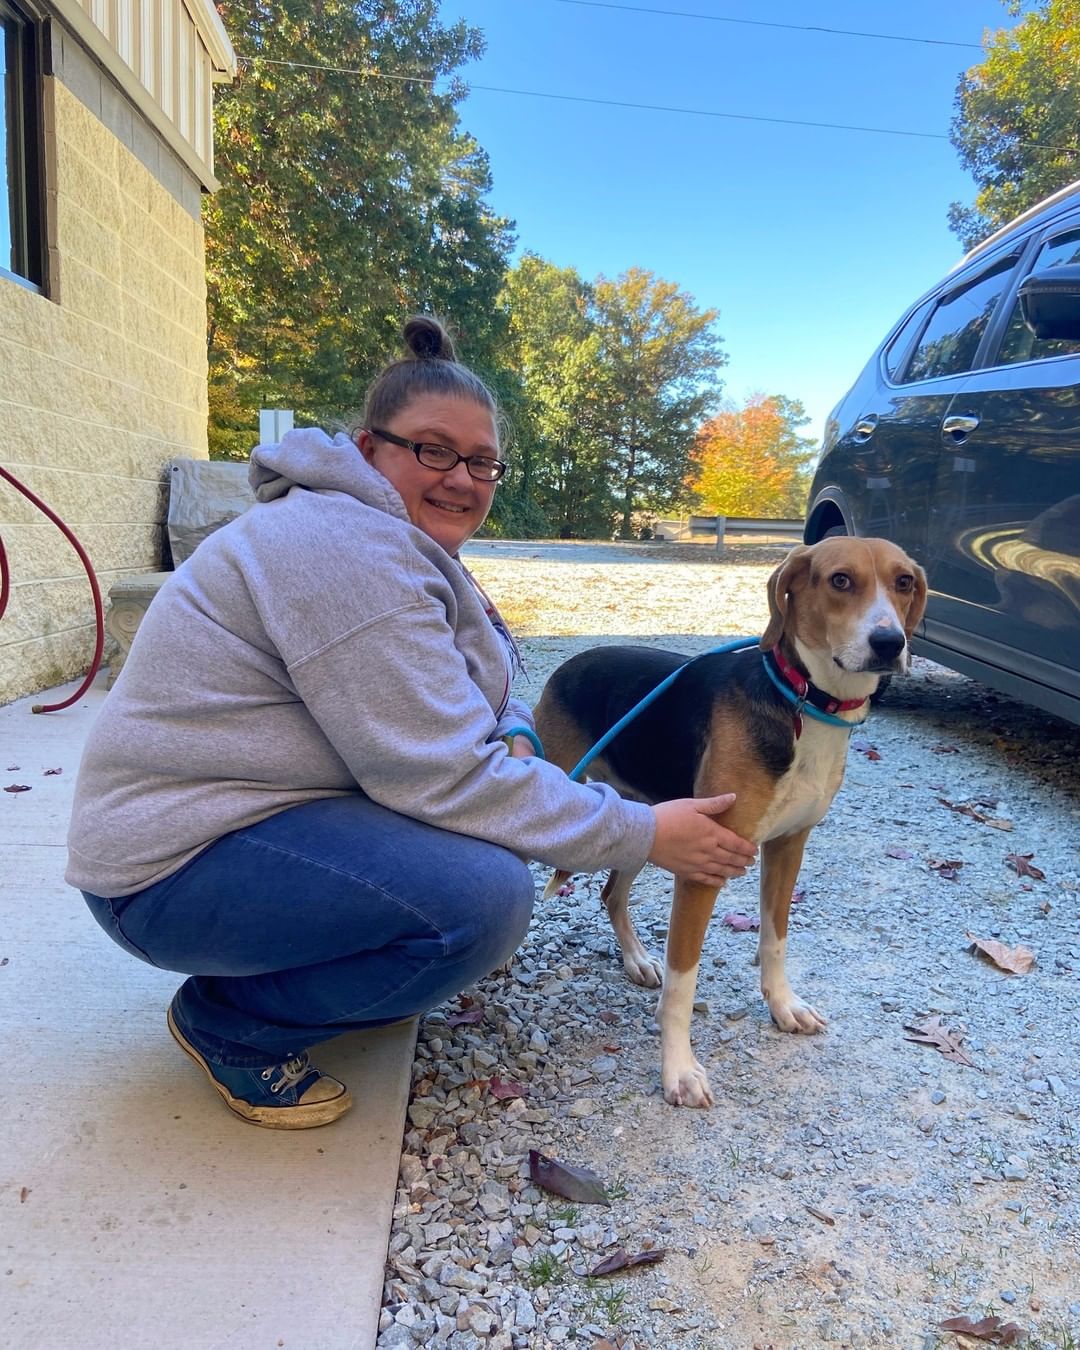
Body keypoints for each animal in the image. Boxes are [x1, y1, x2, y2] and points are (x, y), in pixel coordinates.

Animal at [531, 537, 928, 1107]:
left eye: (904, 582)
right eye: (840, 580)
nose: (889, 642)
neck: (803, 699)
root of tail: (573, 662)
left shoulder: (787, 847)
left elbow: (775, 940)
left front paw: (783, 1005)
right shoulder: (702, 867)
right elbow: (682, 985)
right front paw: (679, 1070)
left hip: (645, 824)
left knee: (612, 894)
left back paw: (636, 959)